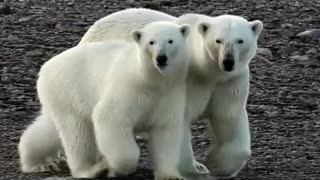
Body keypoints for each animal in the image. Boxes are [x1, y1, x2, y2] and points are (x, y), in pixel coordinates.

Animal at [20, 20, 195, 179]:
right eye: (151, 42)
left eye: (171, 41)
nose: (161, 58)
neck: (149, 80)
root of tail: (45, 68)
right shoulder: (128, 90)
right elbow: (110, 120)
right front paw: (113, 168)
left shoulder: (169, 94)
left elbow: (165, 132)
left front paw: (170, 175)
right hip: (69, 90)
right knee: (77, 134)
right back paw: (89, 169)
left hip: (61, 98)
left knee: (49, 129)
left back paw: (37, 161)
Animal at [79, 7, 264, 178]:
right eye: (218, 40)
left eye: (240, 40)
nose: (228, 61)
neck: (207, 71)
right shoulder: (186, 80)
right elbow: (180, 120)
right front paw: (194, 170)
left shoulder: (229, 82)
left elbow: (228, 116)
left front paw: (216, 165)